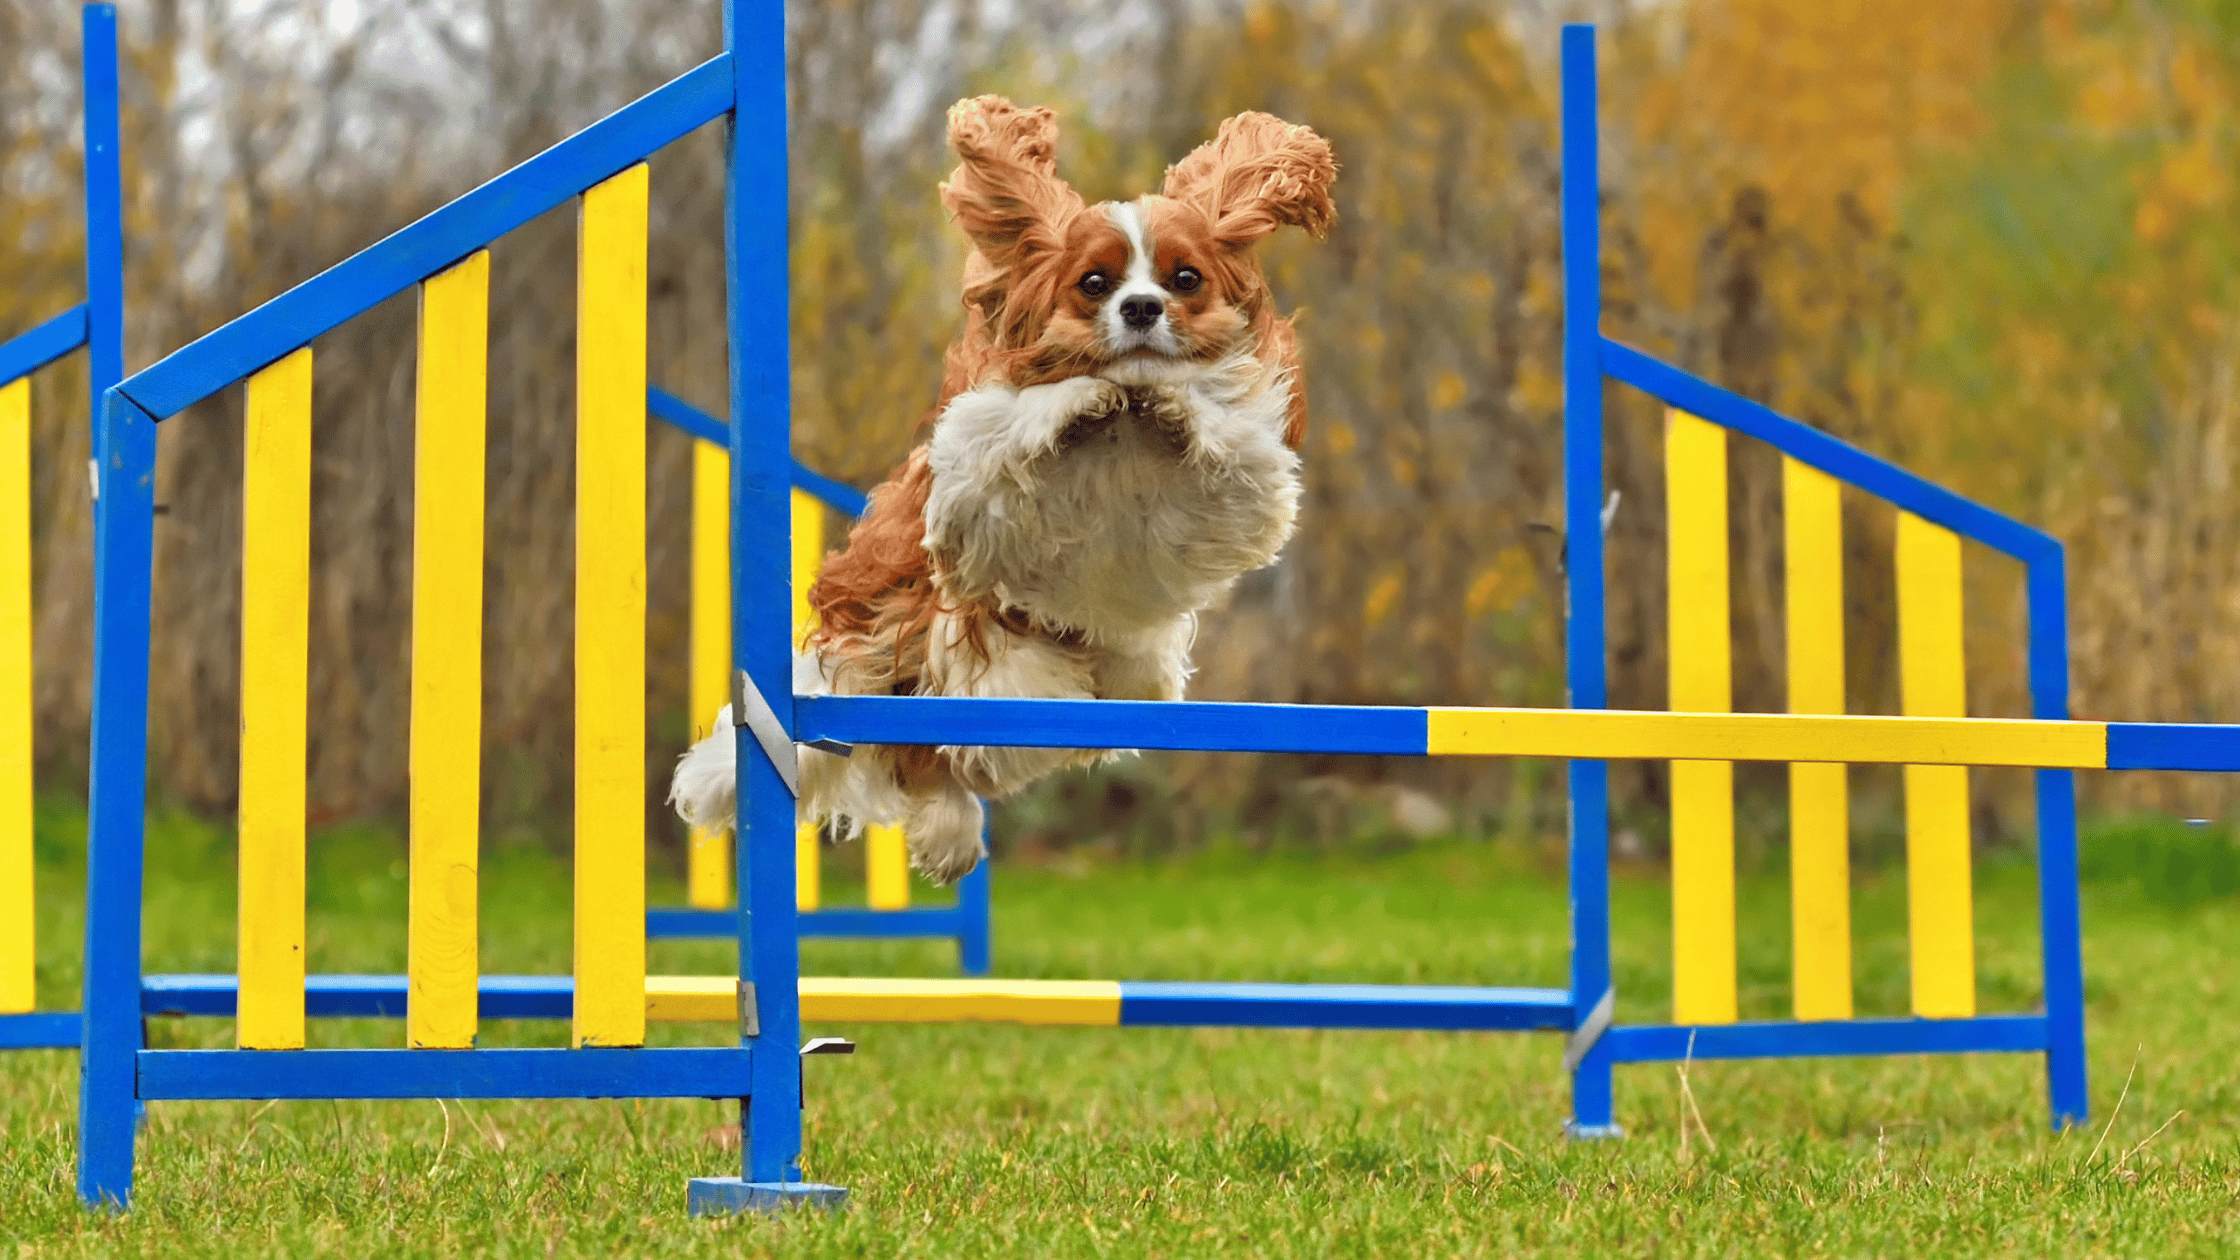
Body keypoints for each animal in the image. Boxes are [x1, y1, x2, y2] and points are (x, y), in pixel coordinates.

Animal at [658, 95, 1326, 874]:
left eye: (1184, 279)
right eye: (1094, 283)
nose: (1140, 308)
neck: (1125, 433)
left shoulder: (1246, 484)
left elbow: (1216, 431)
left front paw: (1173, 403)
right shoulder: (968, 487)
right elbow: (1019, 428)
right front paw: (1078, 399)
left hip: (1125, 671)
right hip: (941, 644)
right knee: (938, 743)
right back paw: (948, 824)